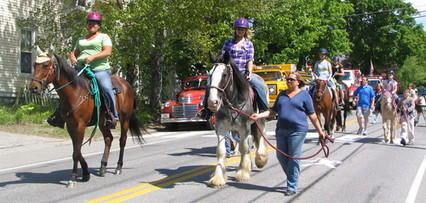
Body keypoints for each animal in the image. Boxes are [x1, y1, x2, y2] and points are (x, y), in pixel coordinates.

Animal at [29, 54, 145, 188]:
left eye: (46, 65)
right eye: (34, 65)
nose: (33, 88)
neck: (74, 93)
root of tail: (127, 84)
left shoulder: (80, 125)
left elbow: (76, 152)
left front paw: (73, 178)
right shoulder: (71, 126)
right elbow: (77, 150)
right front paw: (86, 173)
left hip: (125, 119)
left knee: (122, 141)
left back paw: (118, 167)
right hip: (102, 122)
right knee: (108, 139)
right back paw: (103, 167)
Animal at [208, 53, 268, 187]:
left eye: (224, 75)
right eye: (210, 74)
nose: (212, 102)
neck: (234, 101)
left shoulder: (244, 128)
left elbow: (243, 148)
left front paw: (242, 173)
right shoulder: (221, 128)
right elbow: (221, 151)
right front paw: (218, 178)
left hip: (259, 119)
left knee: (260, 136)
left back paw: (260, 159)